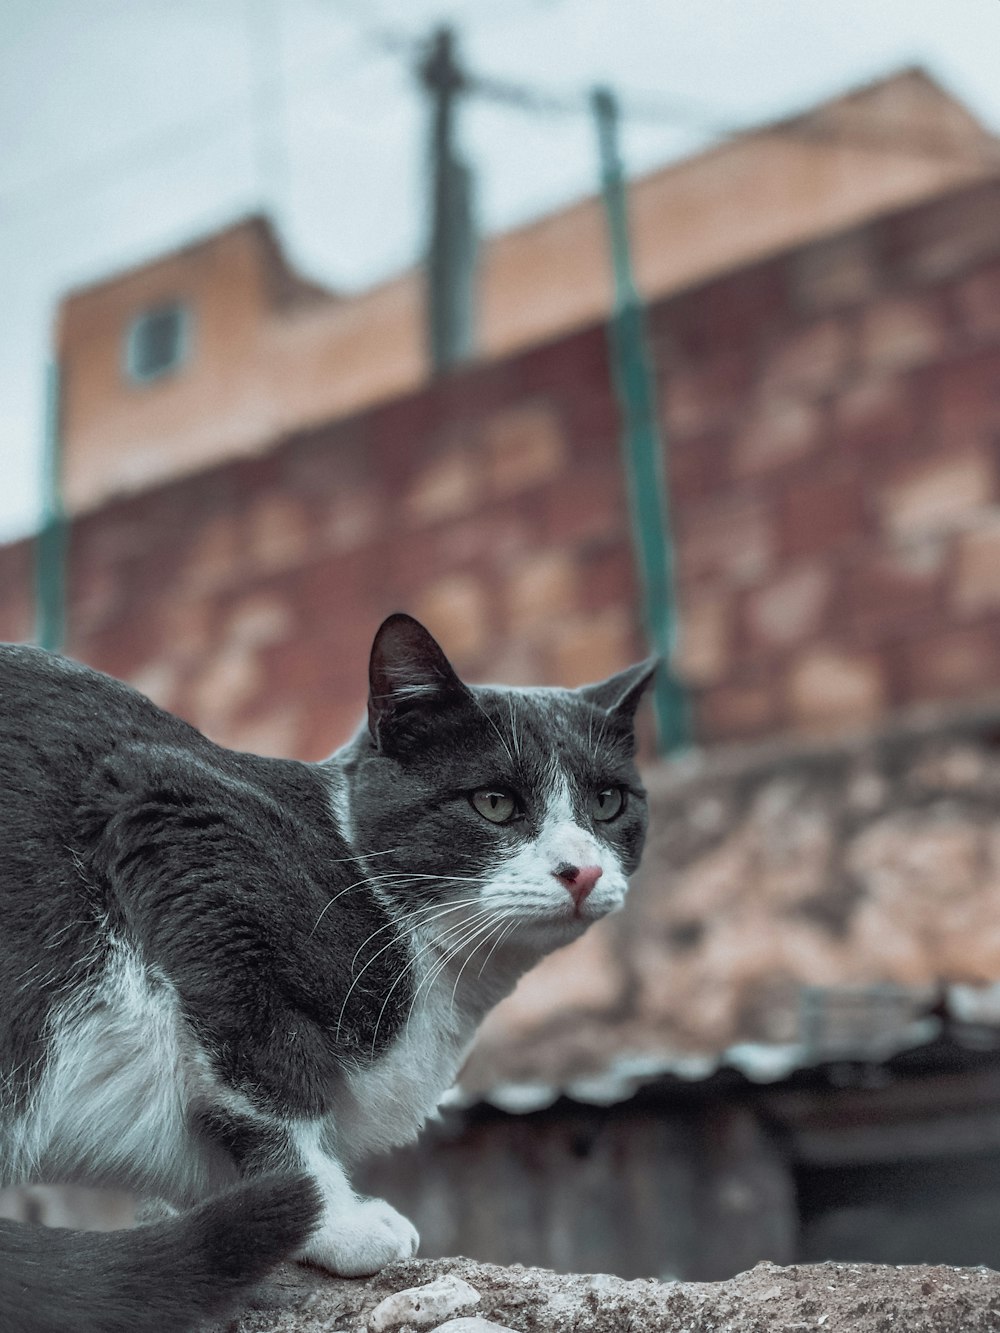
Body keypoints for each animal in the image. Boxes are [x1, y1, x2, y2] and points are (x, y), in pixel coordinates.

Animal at [0, 613, 658, 1333]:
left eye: (608, 801)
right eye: (493, 802)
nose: (583, 870)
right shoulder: (177, 822)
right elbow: (275, 1084)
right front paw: (335, 1220)